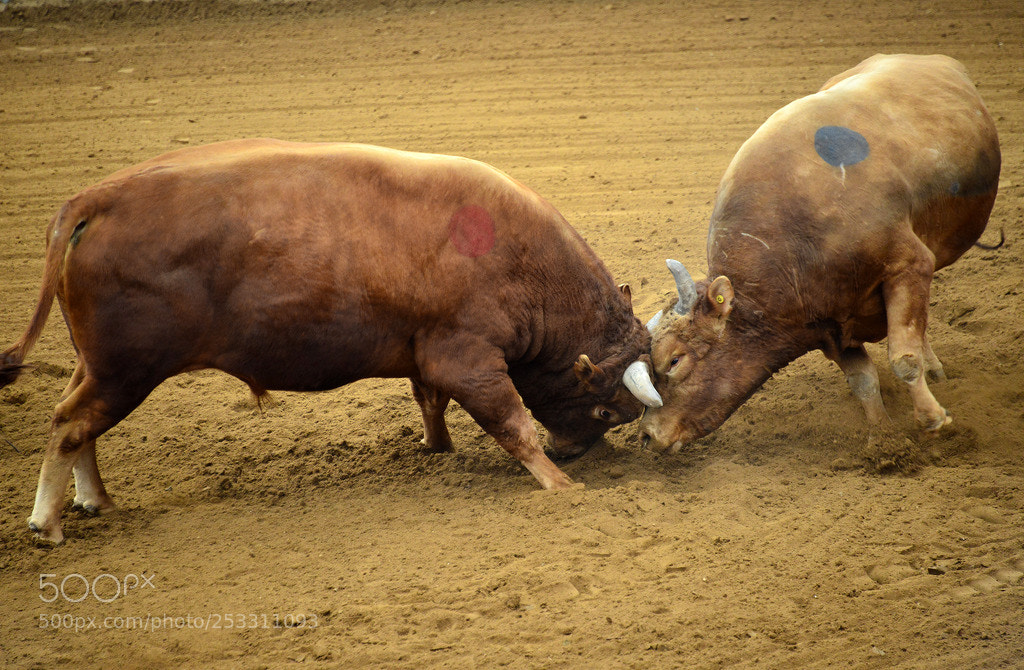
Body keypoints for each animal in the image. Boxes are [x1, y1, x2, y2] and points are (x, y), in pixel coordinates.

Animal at [0, 139, 663, 544]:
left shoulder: (424, 351)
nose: (576, 453)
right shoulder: (469, 357)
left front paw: (439, 447)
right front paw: (558, 484)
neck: (515, 256)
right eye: (606, 410)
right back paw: (48, 523)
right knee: (69, 424)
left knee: (78, 423)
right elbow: (511, 421)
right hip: (126, 370)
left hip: (98, 365)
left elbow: (430, 400)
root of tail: (97, 198)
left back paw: (96, 500)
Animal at [638, 54, 1000, 454]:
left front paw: (934, 420)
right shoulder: (826, 325)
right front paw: (885, 443)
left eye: (674, 359)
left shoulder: (909, 265)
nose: (647, 434)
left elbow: (904, 359)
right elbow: (863, 381)